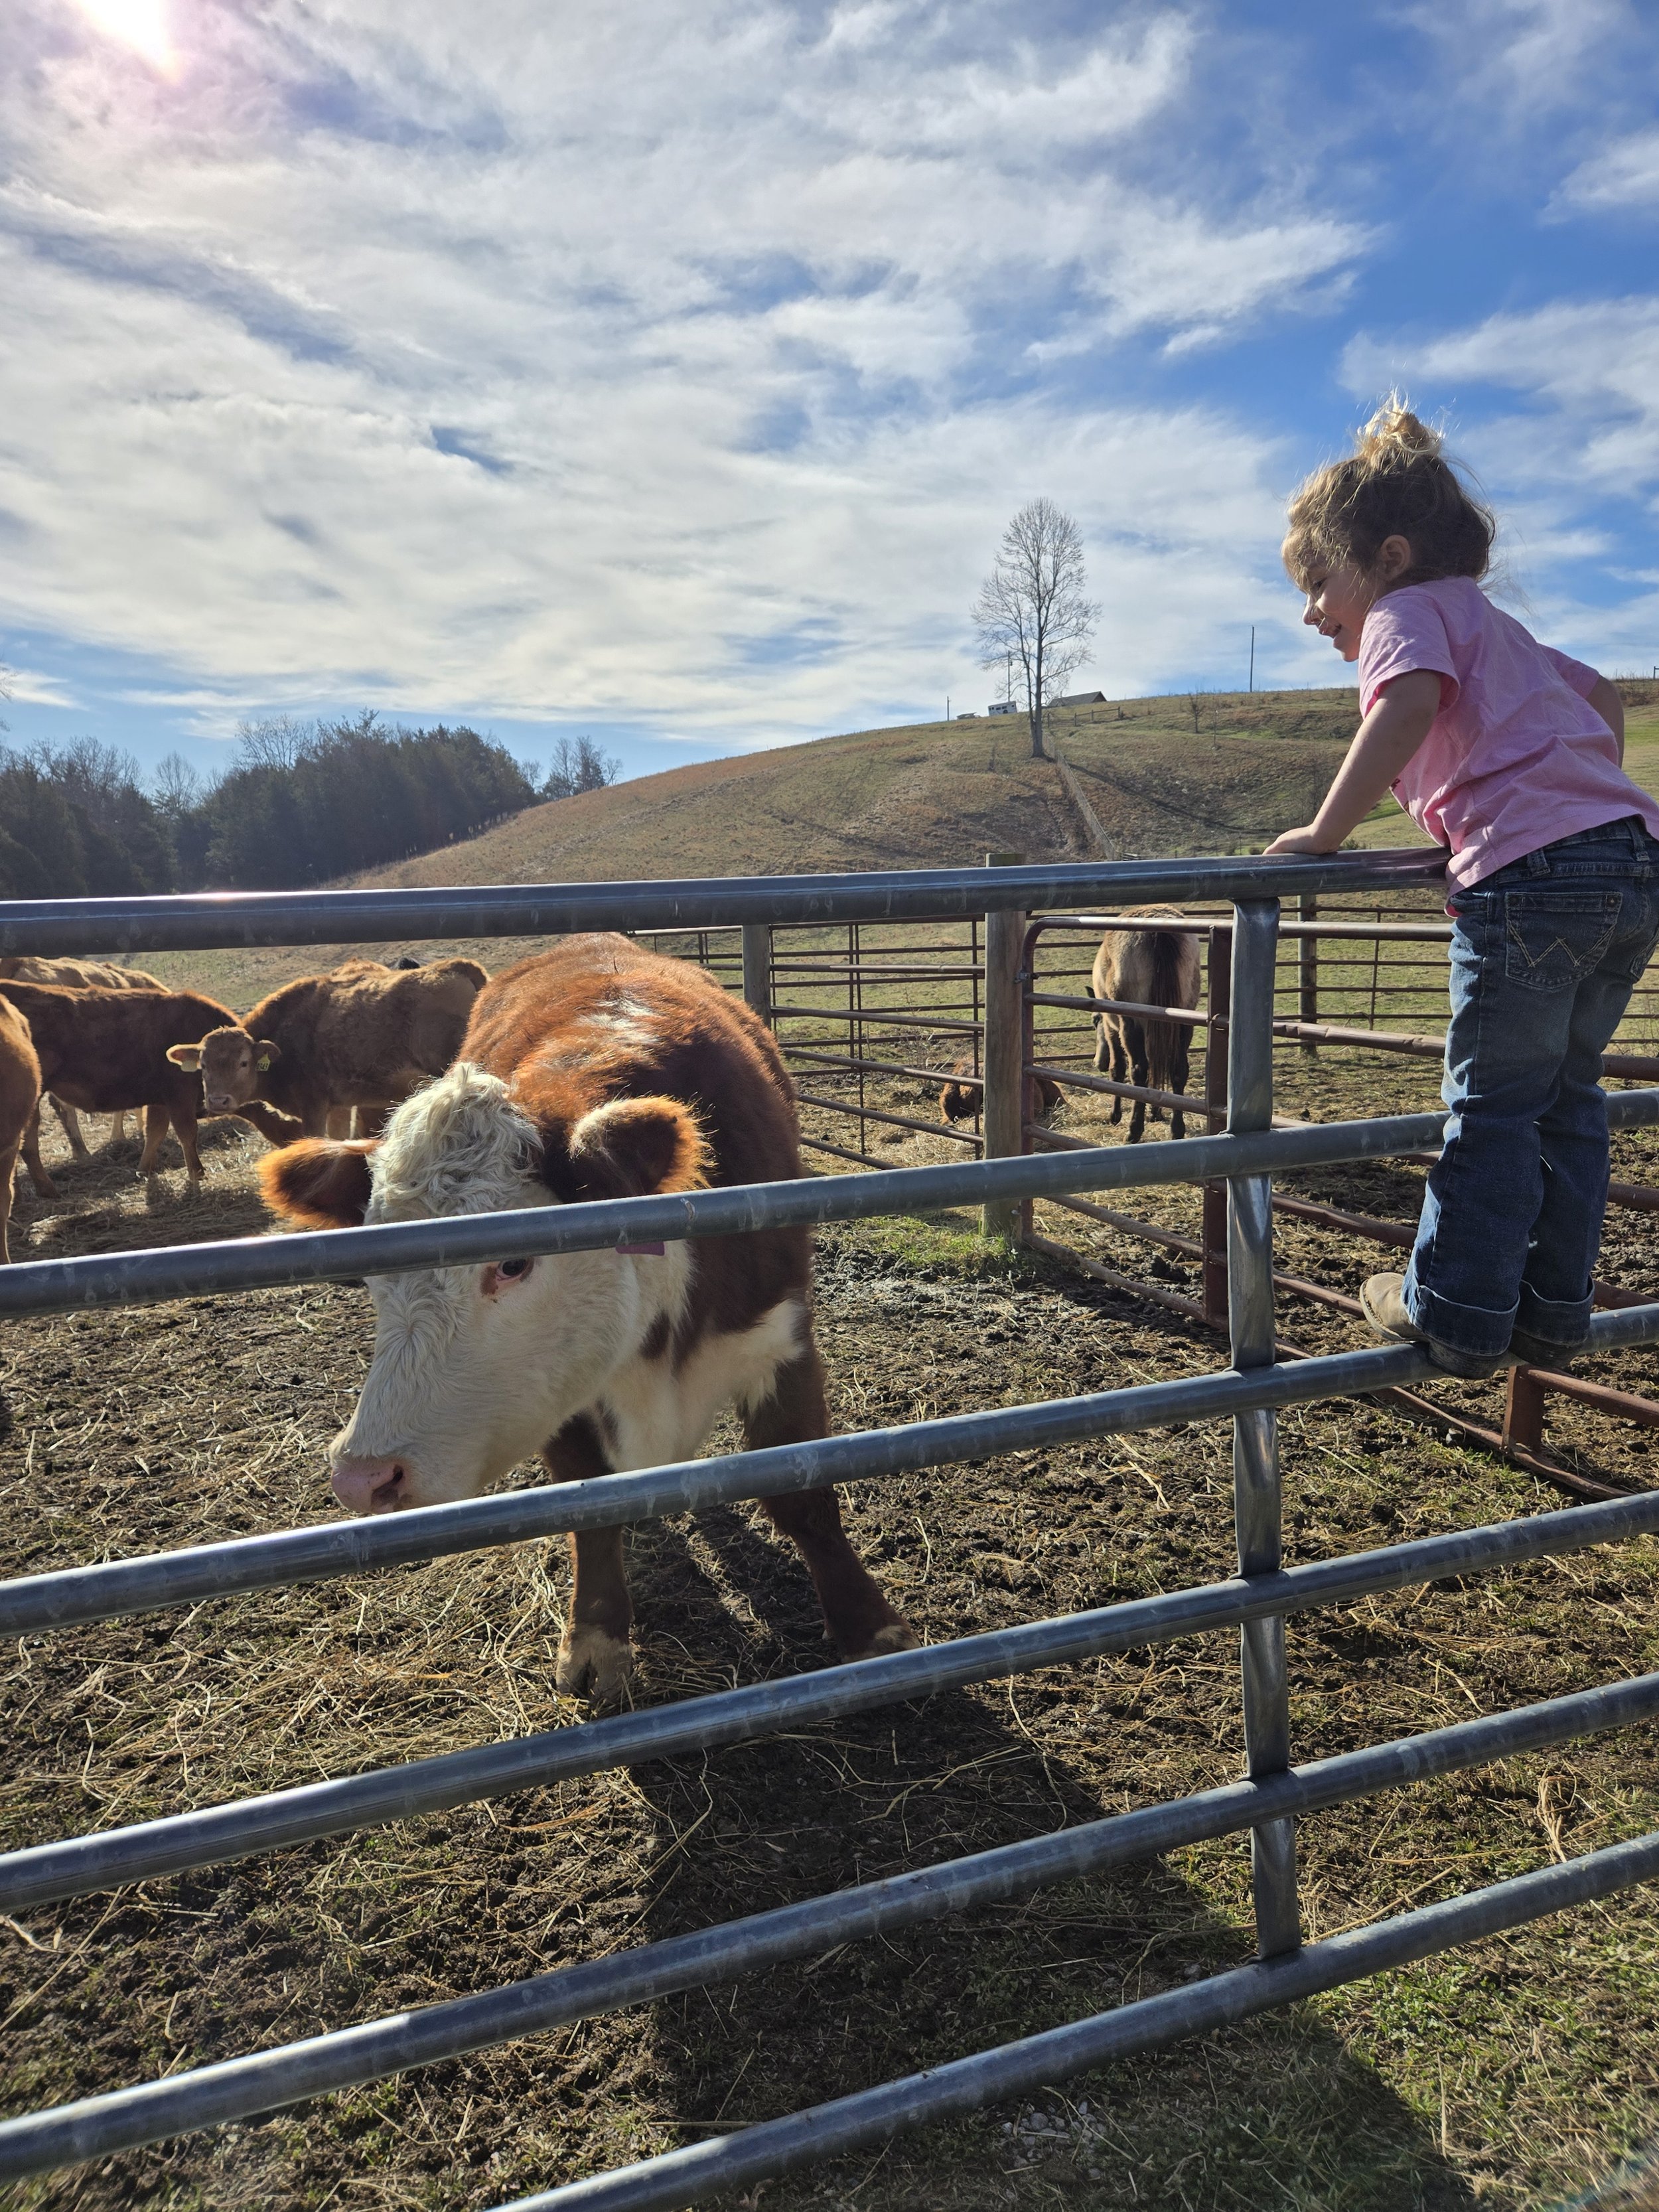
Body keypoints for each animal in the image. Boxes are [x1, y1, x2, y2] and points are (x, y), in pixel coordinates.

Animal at [0, 979, 292, 1188]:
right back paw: (48, 1189)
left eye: (243, 1063)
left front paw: (144, 1170)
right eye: (204, 1065)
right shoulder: (178, 1097)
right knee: (29, 1143)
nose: (218, 1101)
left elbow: (155, 1133)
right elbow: (187, 1133)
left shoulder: (159, 1100)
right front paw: (197, 1174)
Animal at [167, 958, 488, 1141]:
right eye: (204, 1065)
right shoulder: (340, 1107)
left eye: (243, 1062)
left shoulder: (314, 1109)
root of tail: (454, 967)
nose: (218, 1101)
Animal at [259, 937, 916, 1702]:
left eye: (514, 1263)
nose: (364, 1478)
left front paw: (869, 1628)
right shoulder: (561, 1396)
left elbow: (803, 1492)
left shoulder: (781, 1339)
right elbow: (589, 1507)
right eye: (370, 1265)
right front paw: (597, 1637)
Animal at [1091, 911, 1203, 1142]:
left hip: (1131, 1024)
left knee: (1138, 1070)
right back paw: (1177, 1130)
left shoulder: (1112, 1028)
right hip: (1183, 1022)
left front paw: (1115, 1115)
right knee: (1178, 1070)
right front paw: (1156, 1111)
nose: (1098, 1062)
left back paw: (1134, 1130)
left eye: (1095, 1021)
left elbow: (1118, 1069)